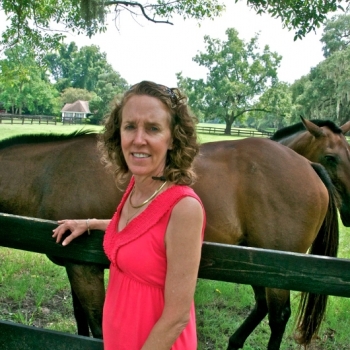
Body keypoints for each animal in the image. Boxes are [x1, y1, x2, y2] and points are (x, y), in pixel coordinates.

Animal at [0, 130, 342, 348]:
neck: (48, 175)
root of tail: (309, 165)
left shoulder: (85, 269)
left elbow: (96, 327)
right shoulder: (76, 265)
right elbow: (80, 319)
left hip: (277, 269)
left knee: (278, 315)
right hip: (256, 262)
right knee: (262, 306)